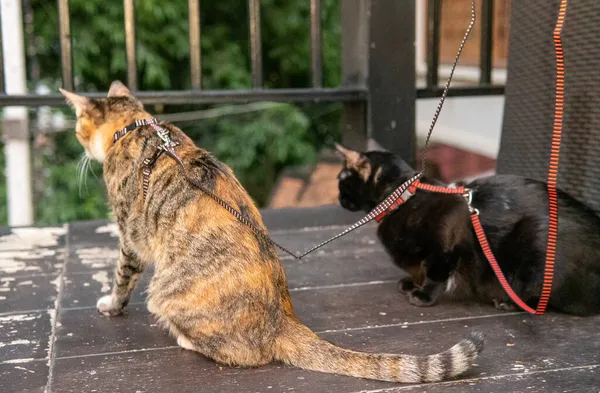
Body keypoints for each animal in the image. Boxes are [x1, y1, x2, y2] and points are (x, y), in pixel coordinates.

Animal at [58, 81, 486, 382]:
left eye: (78, 128)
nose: (78, 144)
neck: (135, 127)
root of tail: (282, 319)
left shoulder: (129, 236)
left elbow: (121, 278)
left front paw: (110, 305)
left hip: (163, 292)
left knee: (242, 354)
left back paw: (183, 337)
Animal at [336, 144, 600, 316]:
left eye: (341, 181)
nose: (338, 198)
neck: (403, 198)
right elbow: (420, 270)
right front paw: (412, 283)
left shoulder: (444, 249)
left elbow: (434, 274)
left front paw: (423, 296)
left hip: (537, 239)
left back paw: (509, 302)